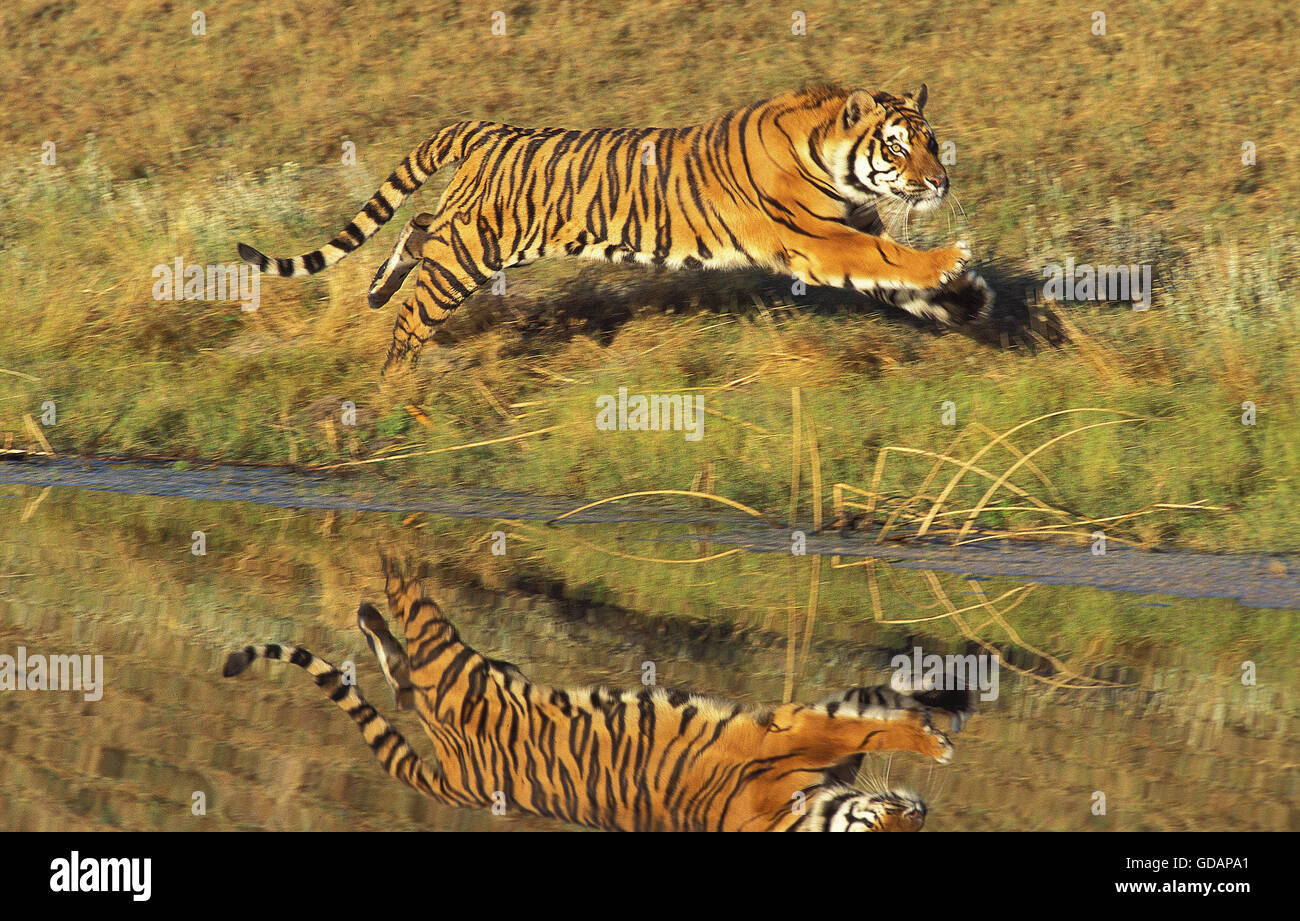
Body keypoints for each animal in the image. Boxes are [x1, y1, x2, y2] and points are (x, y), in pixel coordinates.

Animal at [222, 555, 973, 832]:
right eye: (883, 830)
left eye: (914, 830)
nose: (922, 810)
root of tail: (456, 780)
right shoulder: (789, 732)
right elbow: (866, 717)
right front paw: (933, 730)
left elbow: (869, 701)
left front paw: (941, 701)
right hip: (458, 662)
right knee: (414, 603)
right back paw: (392, 551)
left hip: (474, 675)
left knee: (404, 679)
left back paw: (368, 613)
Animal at [236, 84, 993, 372]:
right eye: (899, 147)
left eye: (933, 143)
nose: (940, 182)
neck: (840, 165)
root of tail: (485, 128)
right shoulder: (817, 239)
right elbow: (888, 256)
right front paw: (953, 262)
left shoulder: (845, 234)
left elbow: (893, 275)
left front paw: (968, 299)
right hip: (473, 252)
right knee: (414, 313)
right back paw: (396, 383)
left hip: (469, 234)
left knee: (418, 225)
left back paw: (375, 291)